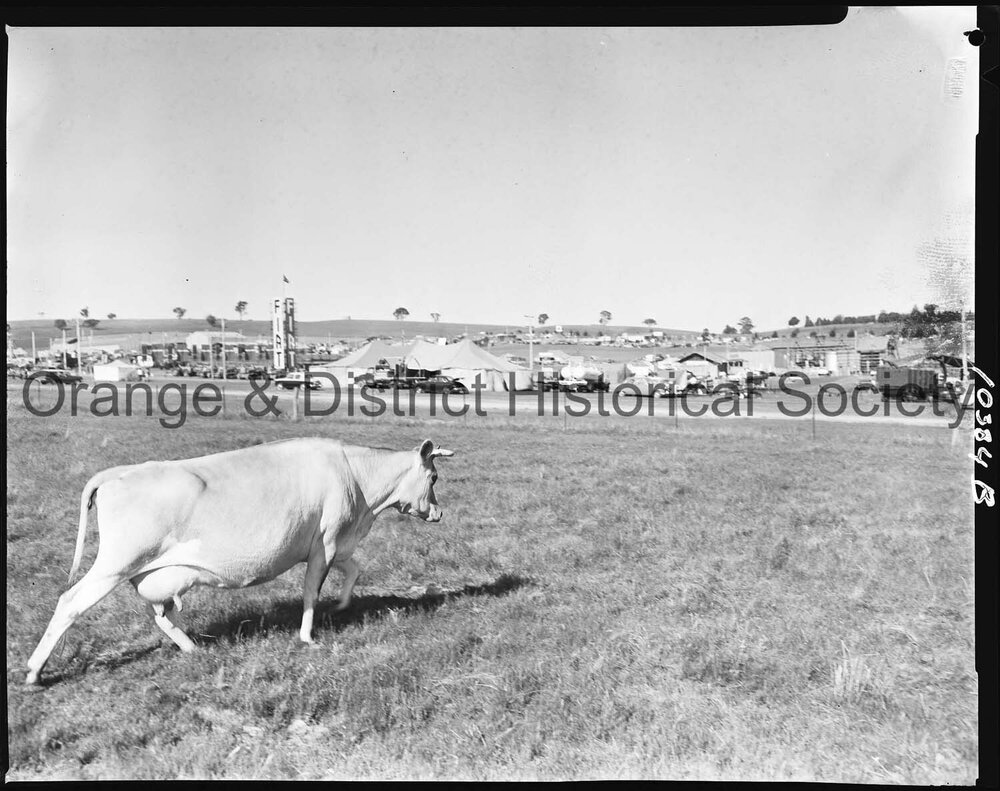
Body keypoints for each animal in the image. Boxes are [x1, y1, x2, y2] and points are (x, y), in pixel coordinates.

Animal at [25, 437, 455, 686]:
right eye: (433, 477)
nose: (439, 513)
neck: (358, 479)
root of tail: (119, 473)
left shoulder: (336, 545)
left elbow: (354, 569)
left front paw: (343, 604)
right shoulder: (327, 542)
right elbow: (311, 592)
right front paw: (307, 636)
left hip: (156, 573)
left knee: (161, 615)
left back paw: (193, 648)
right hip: (115, 564)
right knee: (69, 602)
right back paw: (34, 670)